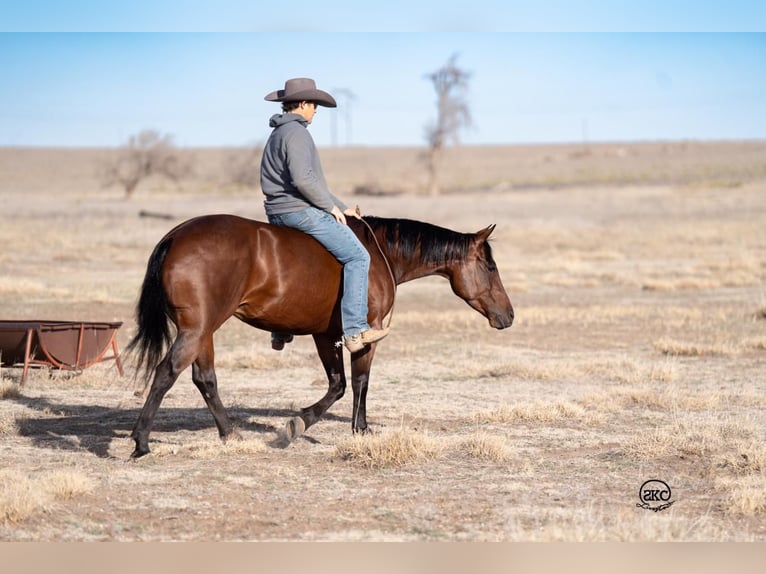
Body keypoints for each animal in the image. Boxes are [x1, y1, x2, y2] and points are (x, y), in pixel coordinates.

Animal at [127, 214, 516, 462]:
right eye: (491, 267)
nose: (509, 315)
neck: (378, 253)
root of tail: (176, 236)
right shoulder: (363, 335)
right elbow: (358, 382)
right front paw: (356, 429)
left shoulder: (323, 335)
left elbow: (337, 384)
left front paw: (301, 424)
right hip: (196, 330)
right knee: (165, 373)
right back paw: (141, 442)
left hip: (203, 332)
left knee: (204, 379)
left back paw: (230, 435)